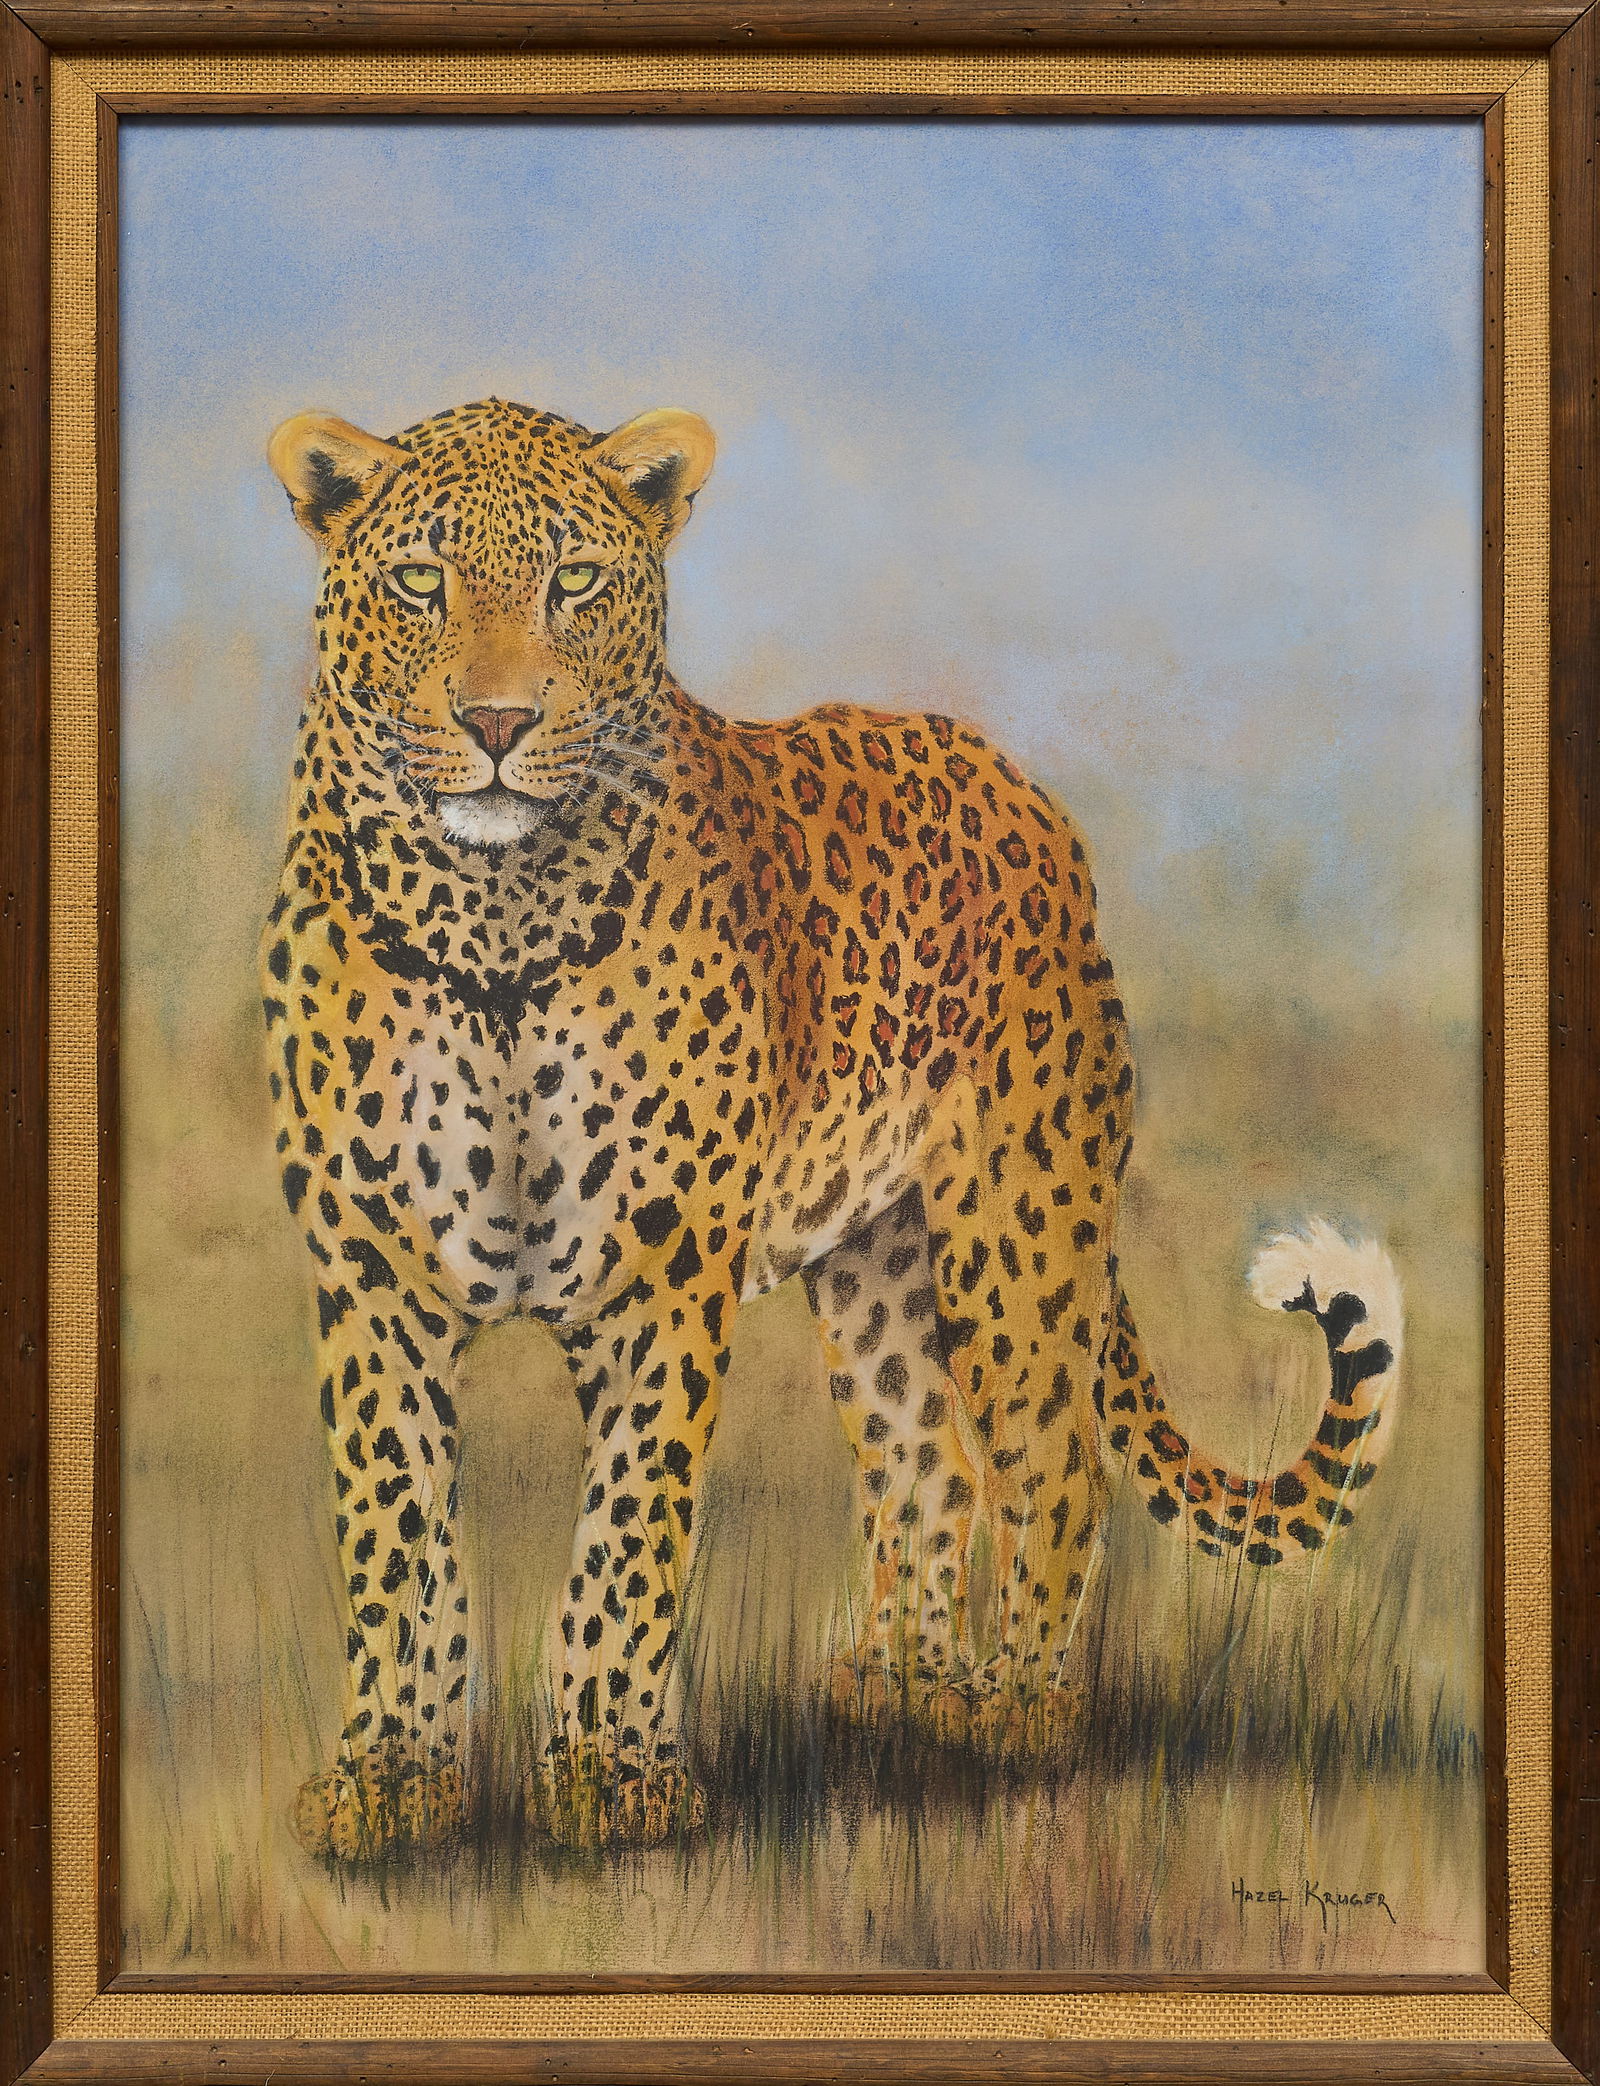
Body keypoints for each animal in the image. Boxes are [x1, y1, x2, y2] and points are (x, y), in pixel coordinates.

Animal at [262, 393, 1404, 1861]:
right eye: (420, 581)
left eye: (575, 582)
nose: (499, 717)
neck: (493, 915)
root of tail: (1014, 782)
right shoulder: (373, 1279)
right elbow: (397, 1538)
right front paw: (392, 1782)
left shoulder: (660, 1281)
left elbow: (628, 1535)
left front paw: (615, 1779)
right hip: (876, 1264)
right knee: (928, 1463)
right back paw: (900, 1683)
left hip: (1015, 1235)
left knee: (1051, 1462)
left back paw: (1013, 1708)